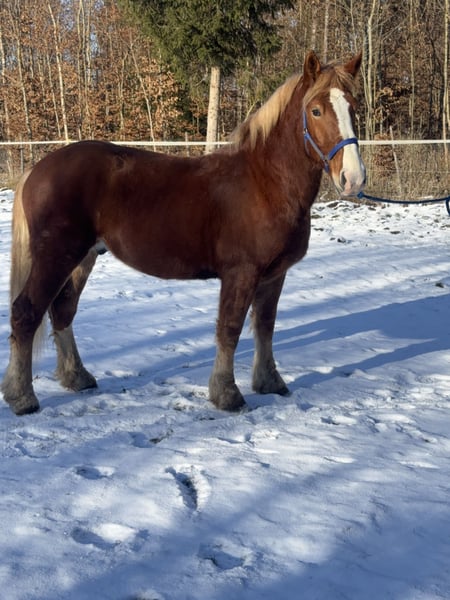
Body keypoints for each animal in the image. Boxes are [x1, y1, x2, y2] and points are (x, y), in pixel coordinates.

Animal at [1, 50, 365, 416]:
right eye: (316, 110)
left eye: (353, 107)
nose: (353, 178)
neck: (265, 182)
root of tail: (37, 169)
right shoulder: (241, 273)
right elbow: (230, 329)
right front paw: (227, 394)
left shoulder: (274, 275)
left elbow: (265, 326)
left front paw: (269, 382)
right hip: (57, 256)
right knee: (26, 312)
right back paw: (22, 397)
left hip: (82, 258)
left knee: (62, 310)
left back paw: (77, 377)